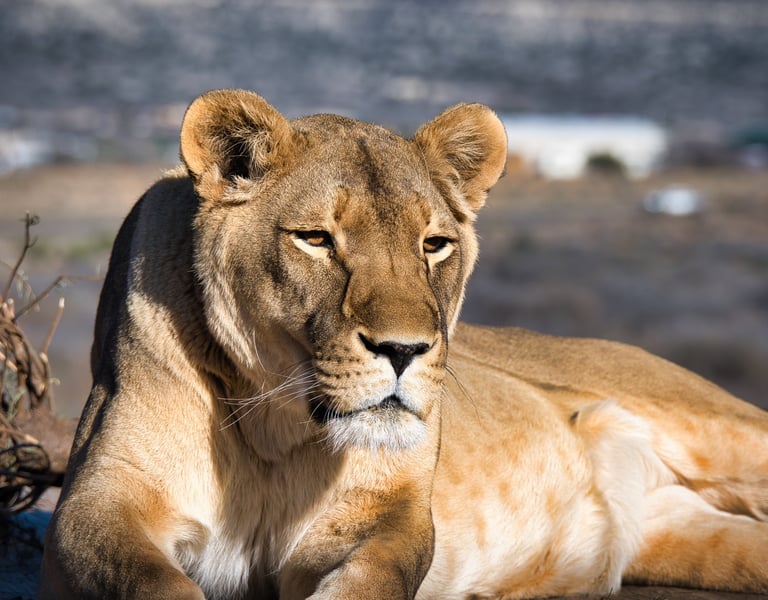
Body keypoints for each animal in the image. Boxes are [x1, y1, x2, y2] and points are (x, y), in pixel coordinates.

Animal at [40, 89, 768, 599]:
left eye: (433, 244)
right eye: (316, 239)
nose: (403, 350)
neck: (276, 431)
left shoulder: (389, 513)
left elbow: (376, 577)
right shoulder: (98, 503)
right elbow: (146, 579)